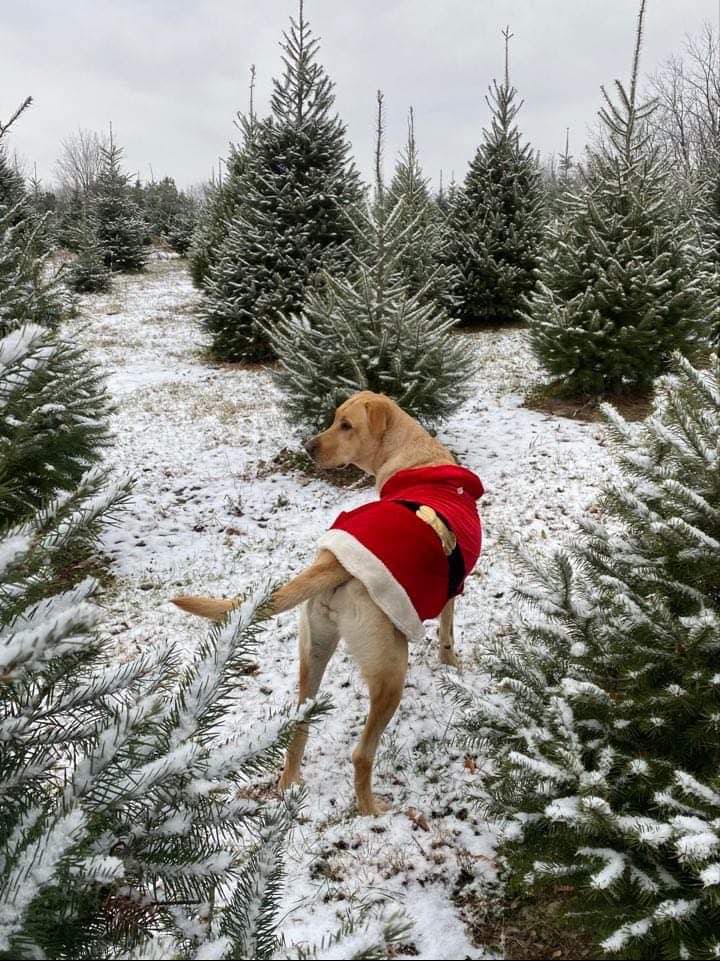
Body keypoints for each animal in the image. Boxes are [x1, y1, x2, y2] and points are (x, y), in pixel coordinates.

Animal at [172, 388, 484, 808]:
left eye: (345, 424)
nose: (307, 446)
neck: (416, 455)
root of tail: (334, 562)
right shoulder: (455, 586)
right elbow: (448, 631)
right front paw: (452, 664)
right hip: (389, 670)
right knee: (361, 753)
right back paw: (371, 809)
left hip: (314, 647)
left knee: (299, 723)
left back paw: (289, 784)